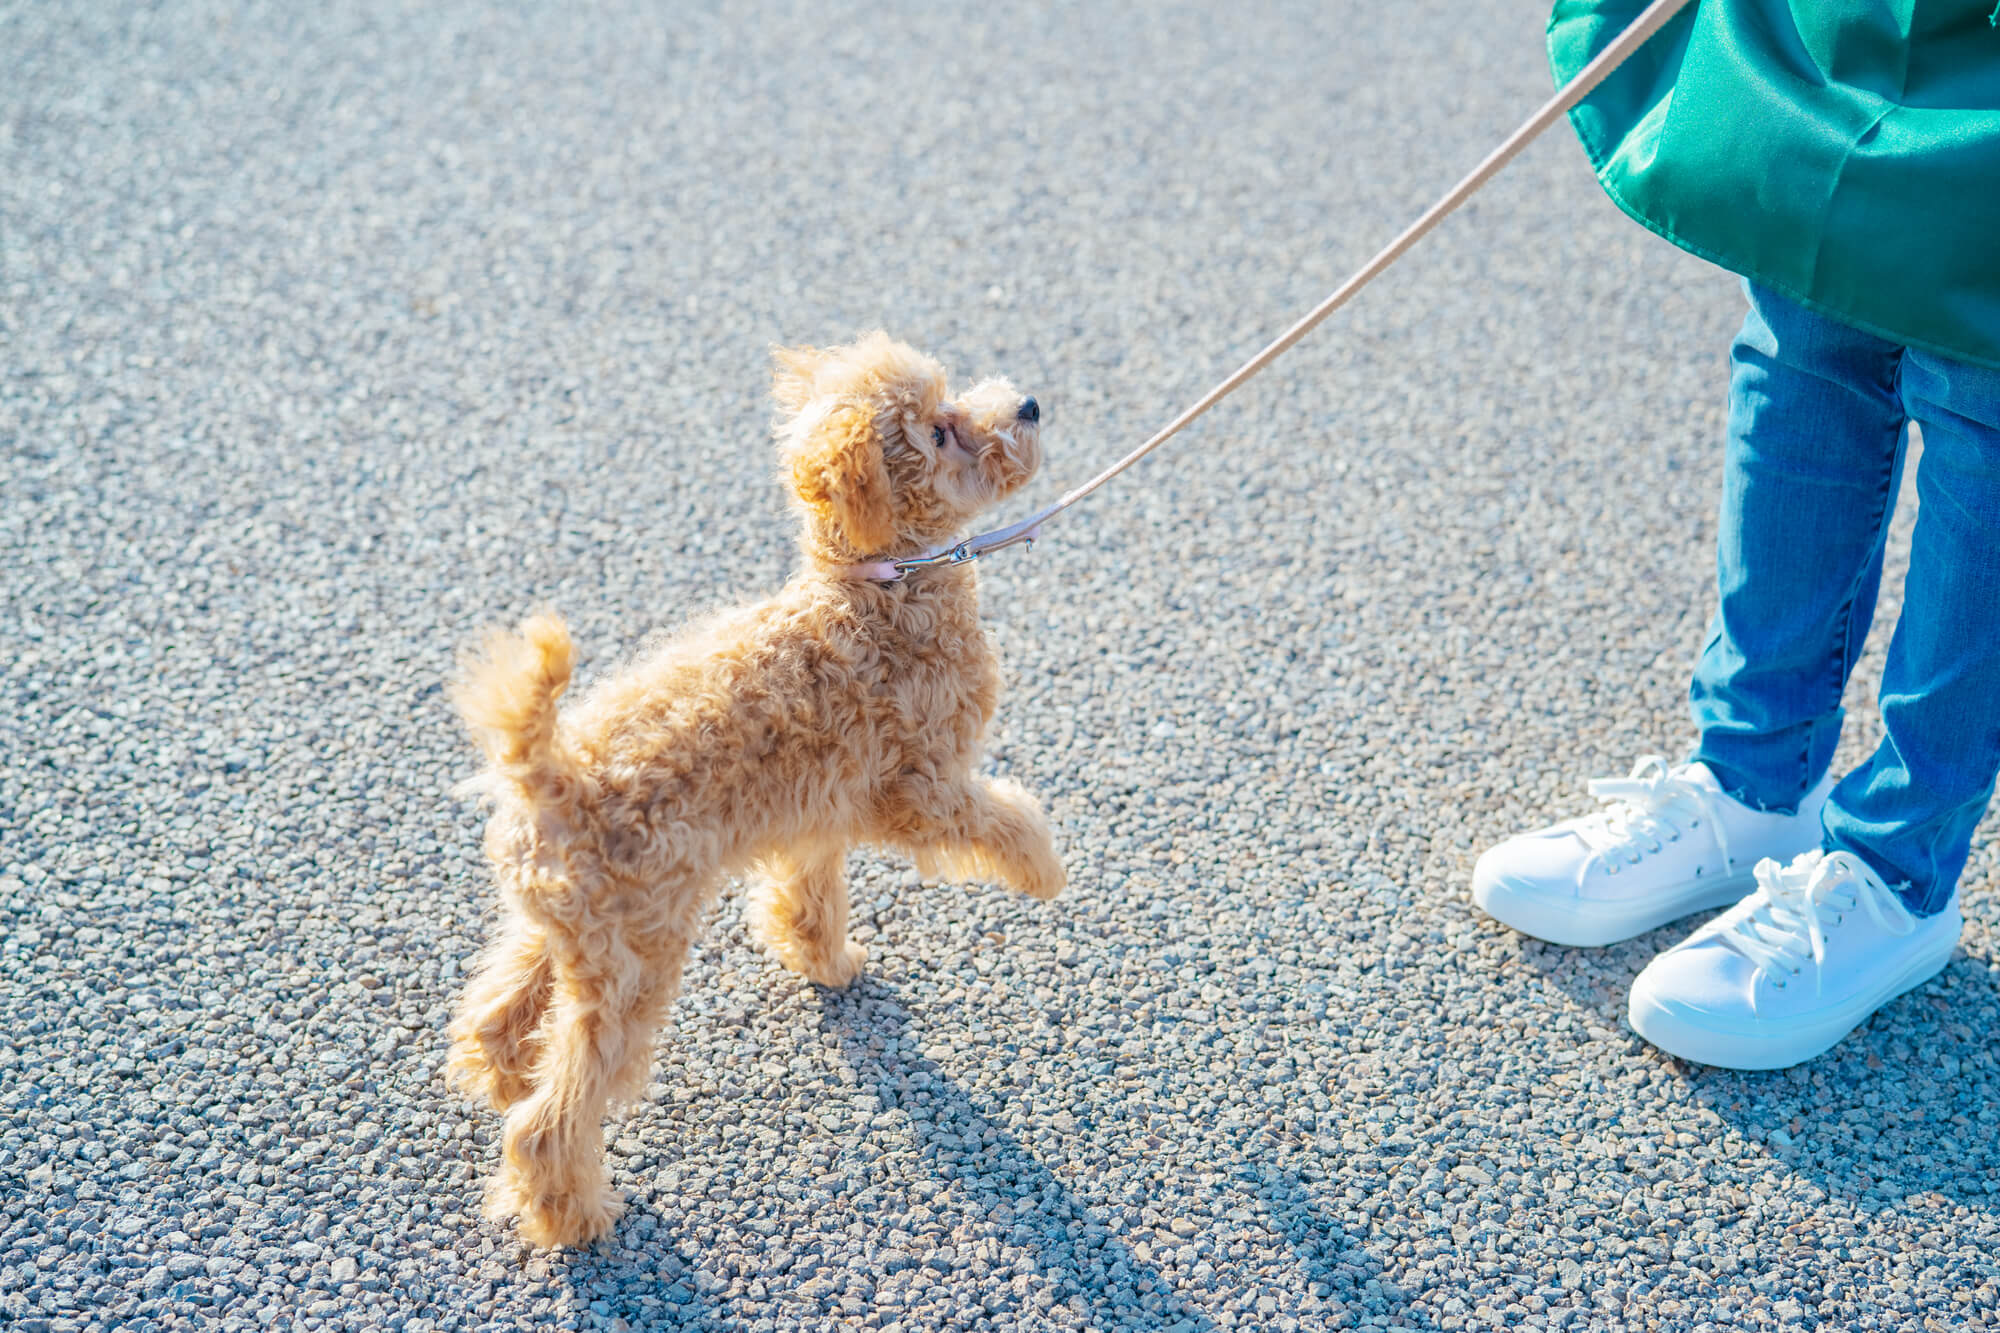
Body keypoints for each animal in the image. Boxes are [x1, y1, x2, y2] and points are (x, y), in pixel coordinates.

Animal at [446, 332, 1072, 1248]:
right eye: (942, 431)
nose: (1027, 404)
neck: (887, 583)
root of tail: (550, 774)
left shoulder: (815, 812)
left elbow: (810, 898)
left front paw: (827, 963)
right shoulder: (920, 787)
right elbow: (1006, 818)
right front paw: (1044, 871)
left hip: (576, 930)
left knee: (499, 1007)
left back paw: (499, 1074)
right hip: (639, 955)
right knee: (551, 1119)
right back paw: (576, 1215)